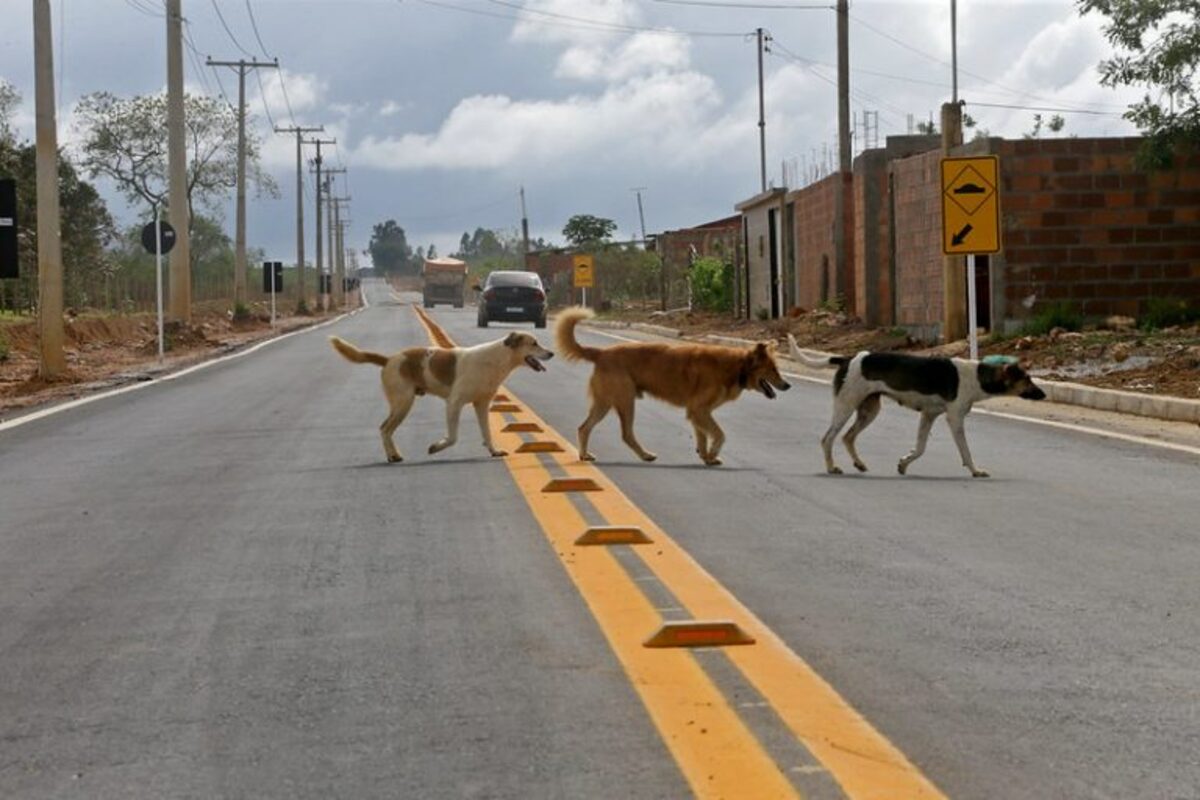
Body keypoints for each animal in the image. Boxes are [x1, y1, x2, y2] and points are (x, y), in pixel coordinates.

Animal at [552, 309, 787, 470]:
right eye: (773, 369)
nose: (788, 385)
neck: (738, 367)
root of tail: (601, 353)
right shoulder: (699, 410)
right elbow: (720, 434)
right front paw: (712, 453)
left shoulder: (698, 413)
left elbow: (702, 437)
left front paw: (706, 457)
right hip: (625, 401)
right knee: (625, 434)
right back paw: (645, 455)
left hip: (605, 403)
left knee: (584, 428)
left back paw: (585, 455)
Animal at [787, 335, 1041, 479]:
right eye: (1027, 379)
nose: (1043, 393)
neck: (978, 376)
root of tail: (848, 358)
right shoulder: (954, 418)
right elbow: (965, 451)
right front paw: (975, 471)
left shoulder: (928, 415)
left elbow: (920, 448)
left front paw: (904, 463)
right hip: (845, 406)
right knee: (828, 438)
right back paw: (832, 468)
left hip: (869, 410)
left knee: (848, 437)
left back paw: (858, 463)